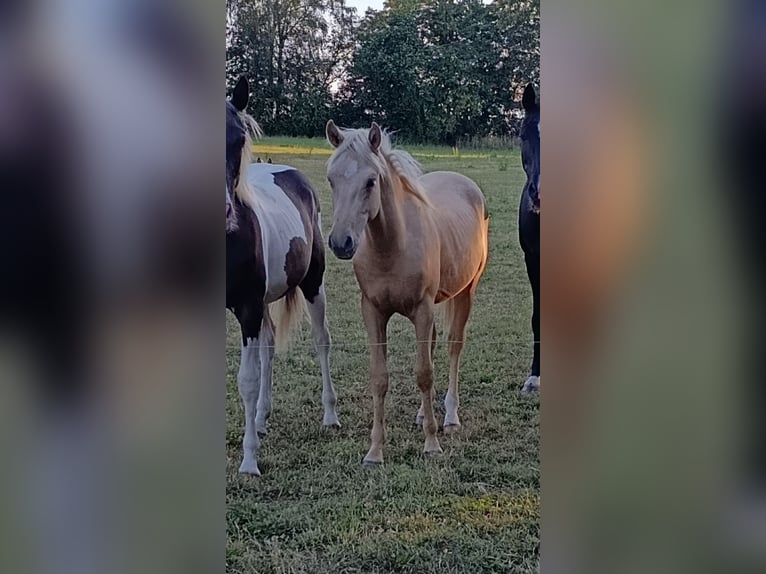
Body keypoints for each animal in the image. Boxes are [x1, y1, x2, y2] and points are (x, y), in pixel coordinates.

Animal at [226, 77, 340, 476]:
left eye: (239, 139)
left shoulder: (247, 307)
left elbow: (245, 380)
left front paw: (248, 460)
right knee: (269, 347)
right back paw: (261, 418)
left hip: (312, 285)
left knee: (321, 342)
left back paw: (330, 414)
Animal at [325, 121, 488, 466]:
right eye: (331, 179)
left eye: (371, 181)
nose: (341, 243)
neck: (392, 246)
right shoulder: (373, 311)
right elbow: (380, 377)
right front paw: (375, 451)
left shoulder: (422, 309)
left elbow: (424, 373)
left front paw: (432, 444)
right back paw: (422, 415)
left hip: (466, 292)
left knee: (454, 347)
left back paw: (450, 418)